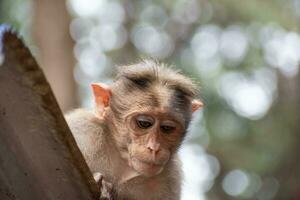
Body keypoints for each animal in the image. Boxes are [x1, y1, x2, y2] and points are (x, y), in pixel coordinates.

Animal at [64, 60, 203, 199]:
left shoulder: (171, 177)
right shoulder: (83, 131)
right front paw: (103, 187)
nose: (154, 148)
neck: (122, 159)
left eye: (167, 128)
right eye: (144, 123)